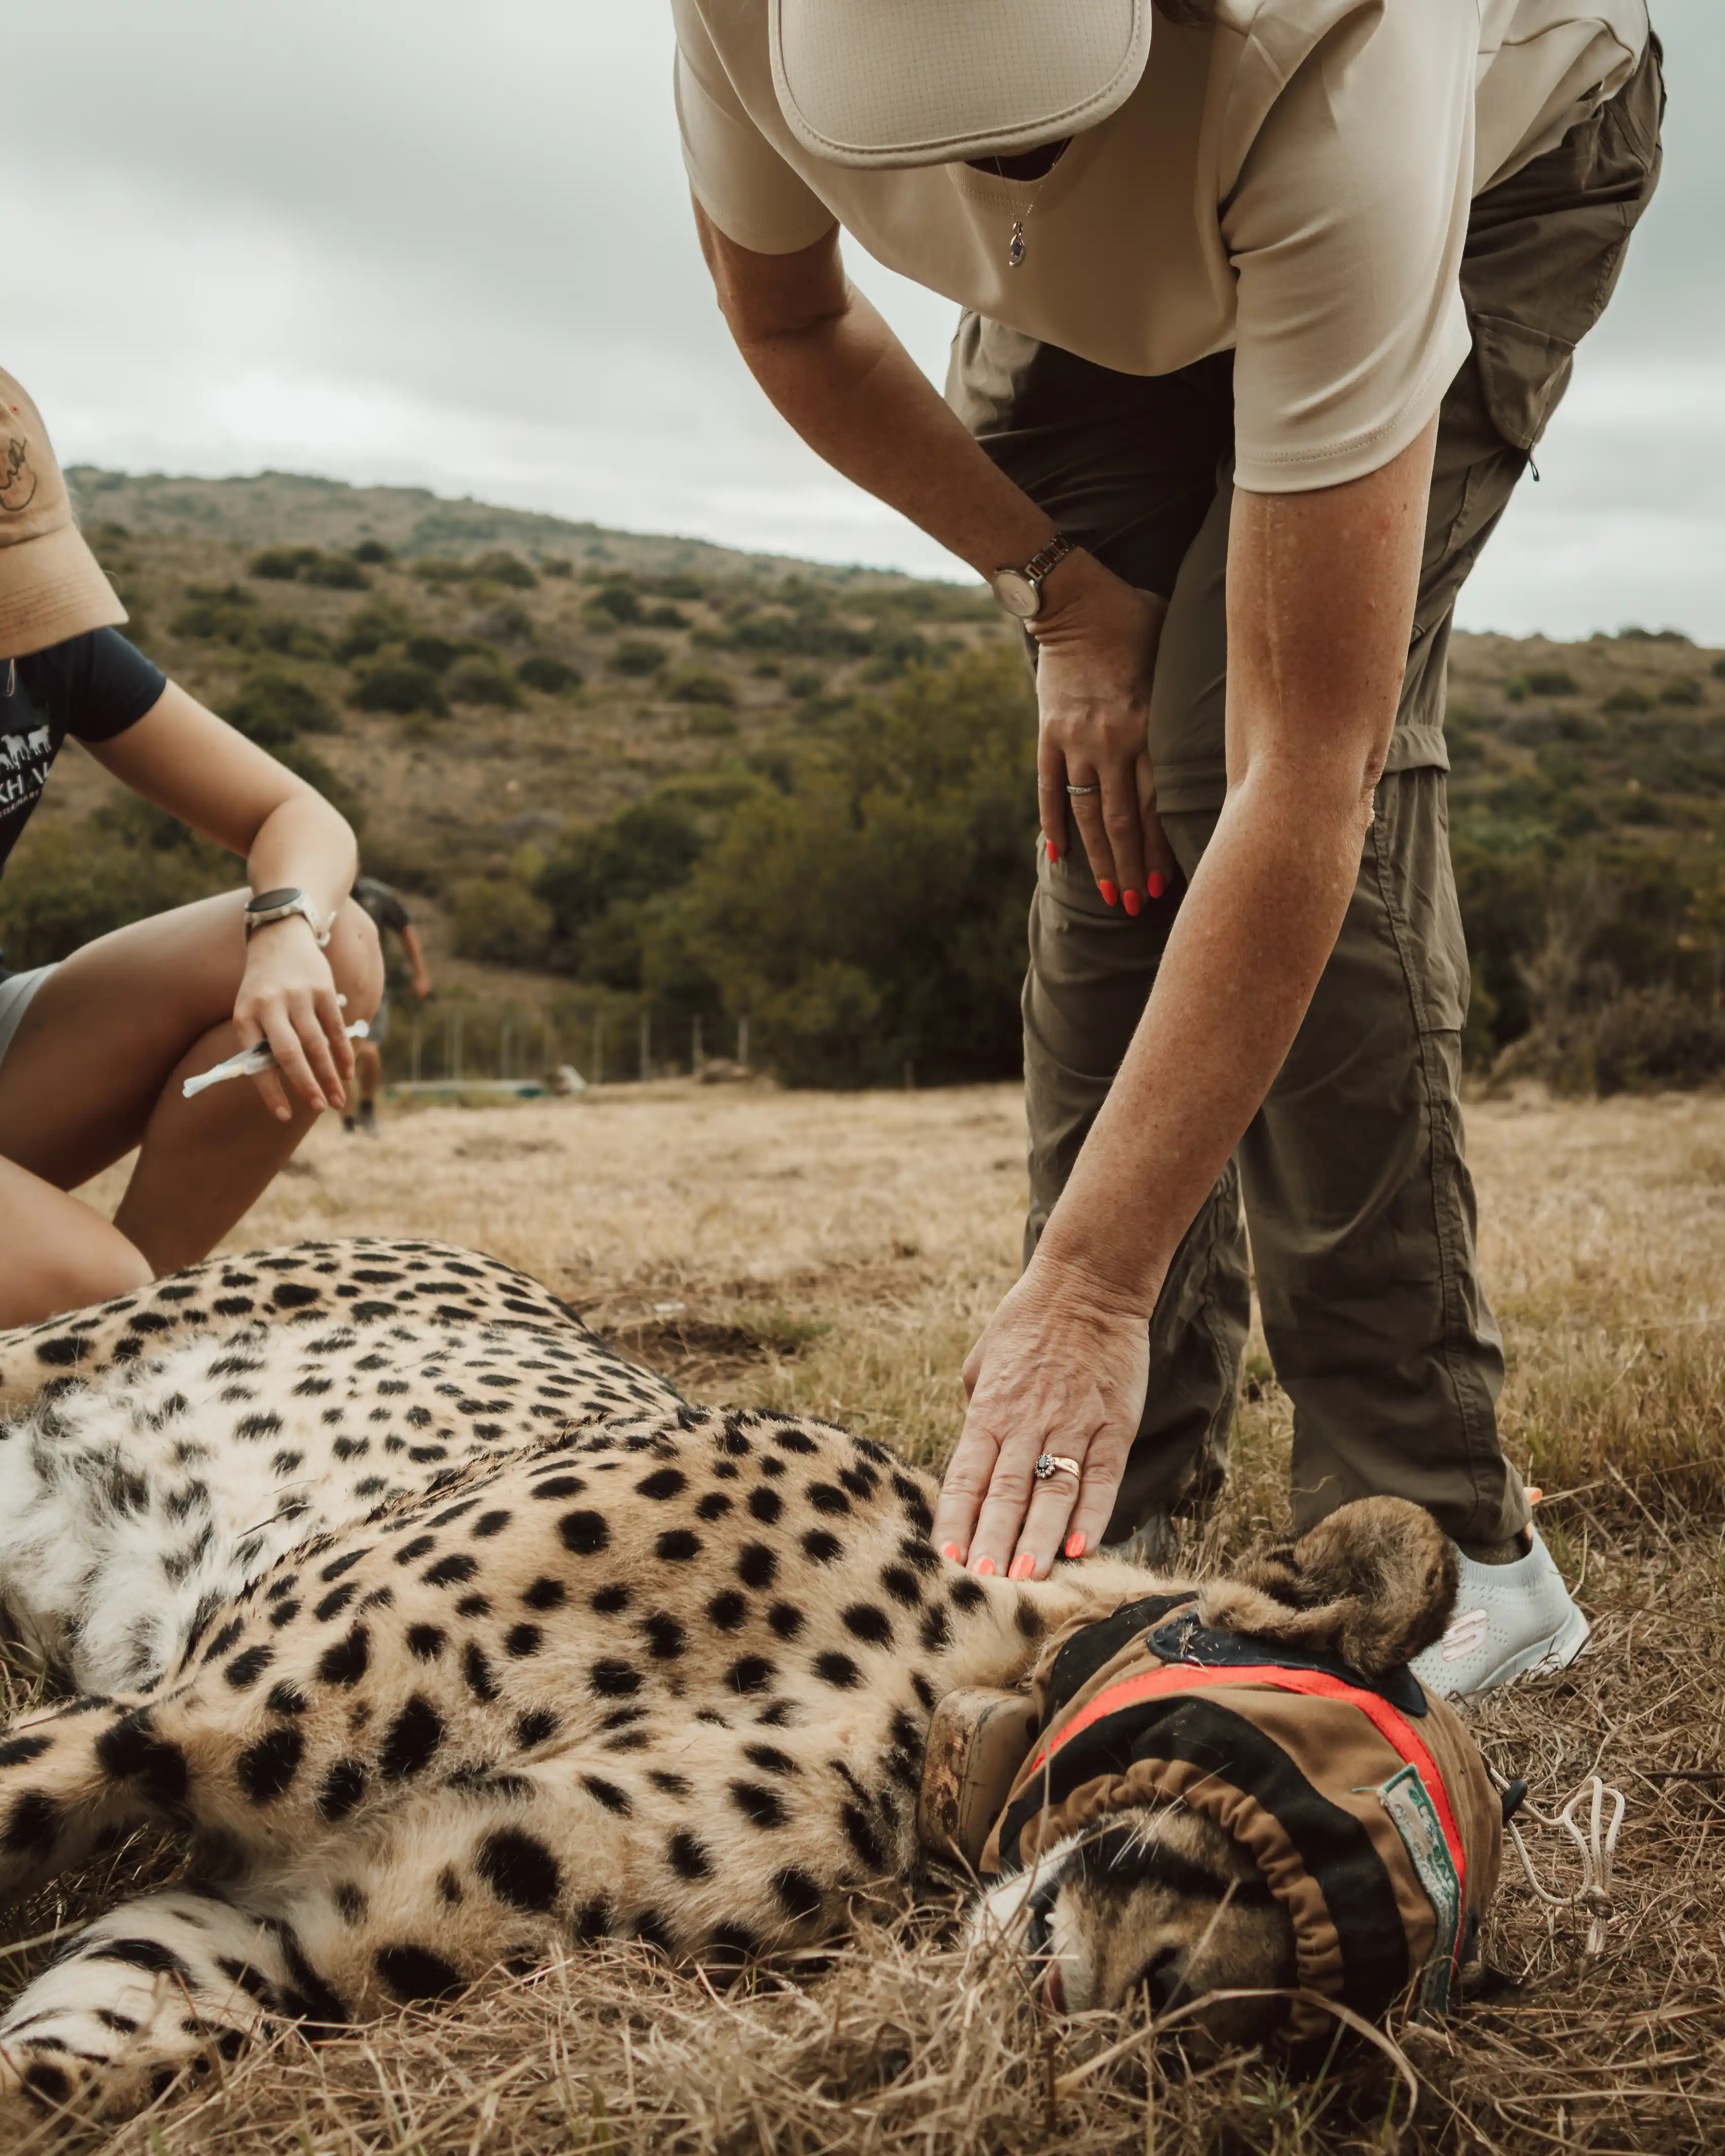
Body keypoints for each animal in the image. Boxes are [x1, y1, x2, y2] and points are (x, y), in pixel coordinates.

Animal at [0, 1237, 1461, 2127]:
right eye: (1303, 1812)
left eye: (1313, 2023)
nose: (1163, 2008)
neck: (931, 1696)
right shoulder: (177, 1715)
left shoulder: (270, 1931)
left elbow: (67, 2058)